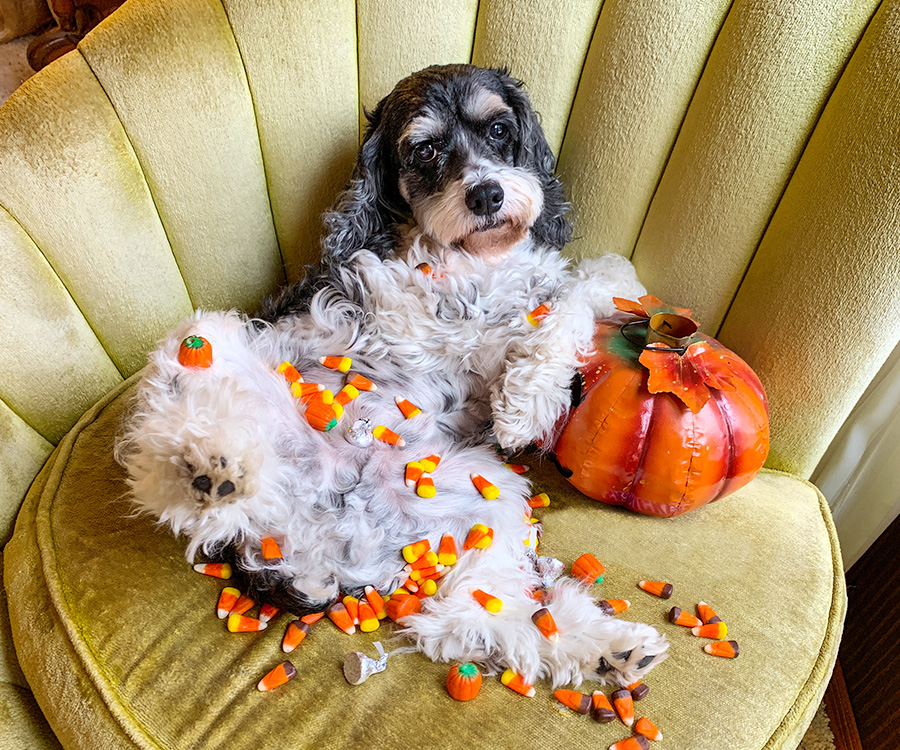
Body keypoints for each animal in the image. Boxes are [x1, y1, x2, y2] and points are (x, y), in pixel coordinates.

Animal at [118, 66, 668, 692]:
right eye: (423, 150)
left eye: (499, 129)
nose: (486, 194)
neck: (476, 260)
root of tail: (309, 531)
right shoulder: (450, 325)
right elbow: (563, 299)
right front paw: (525, 405)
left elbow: (589, 285)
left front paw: (530, 396)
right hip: (206, 341)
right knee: (169, 445)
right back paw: (206, 467)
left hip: (486, 503)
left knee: (469, 619)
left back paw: (613, 650)